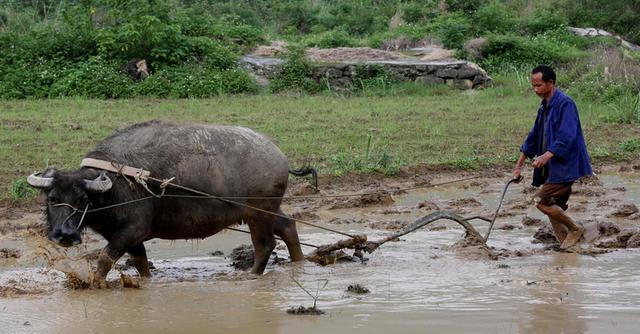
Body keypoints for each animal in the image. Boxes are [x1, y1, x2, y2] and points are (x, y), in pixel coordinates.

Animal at [30, 120, 308, 288]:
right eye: (52, 199)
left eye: (82, 200)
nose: (64, 235)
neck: (115, 184)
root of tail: (277, 154)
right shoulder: (127, 235)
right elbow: (140, 262)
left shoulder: (132, 230)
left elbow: (105, 258)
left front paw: (96, 283)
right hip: (265, 211)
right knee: (288, 226)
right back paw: (299, 263)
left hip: (260, 214)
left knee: (265, 245)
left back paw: (251, 275)